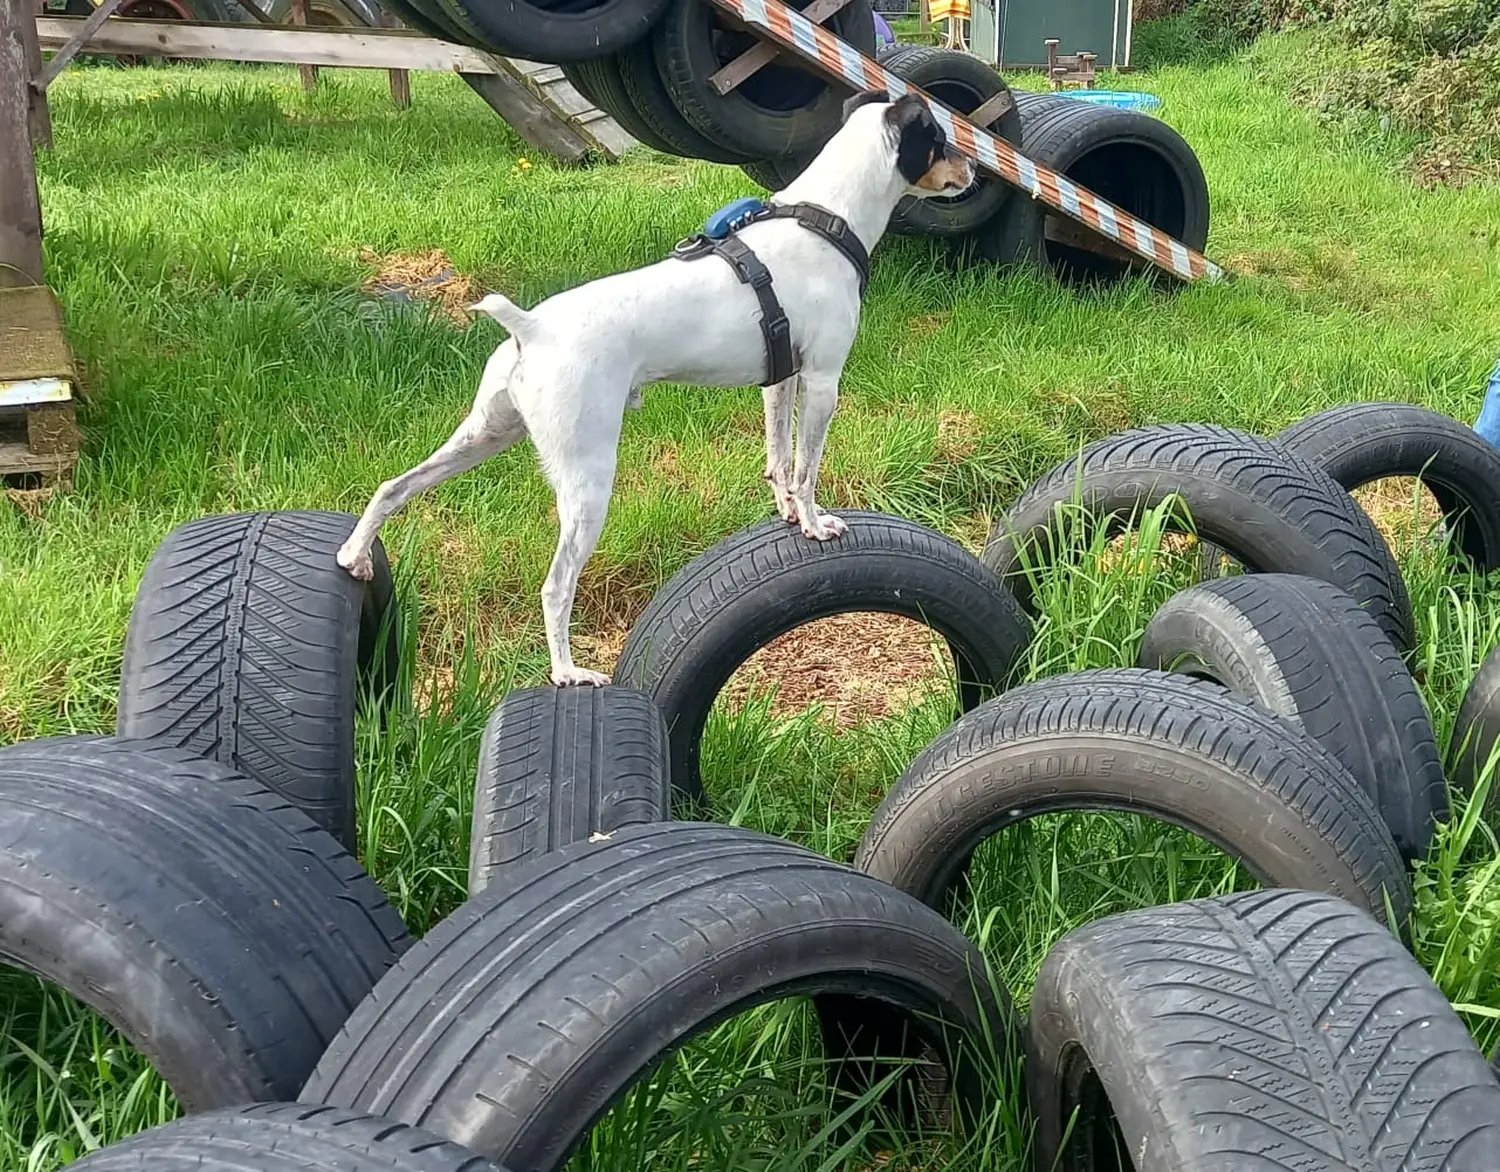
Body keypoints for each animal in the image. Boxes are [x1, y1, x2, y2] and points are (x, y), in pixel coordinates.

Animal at [337, 93, 972, 687]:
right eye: (941, 140)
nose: (971, 170)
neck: (826, 217)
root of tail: (531, 327)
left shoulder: (782, 381)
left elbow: (778, 461)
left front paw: (789, 515)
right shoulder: (822, 382)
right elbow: (807, 469)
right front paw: (815, 525)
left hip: (486, 434)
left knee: (394, 486)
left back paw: (354, 556)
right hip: (587, 479)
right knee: (556, 585)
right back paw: (568, 672)